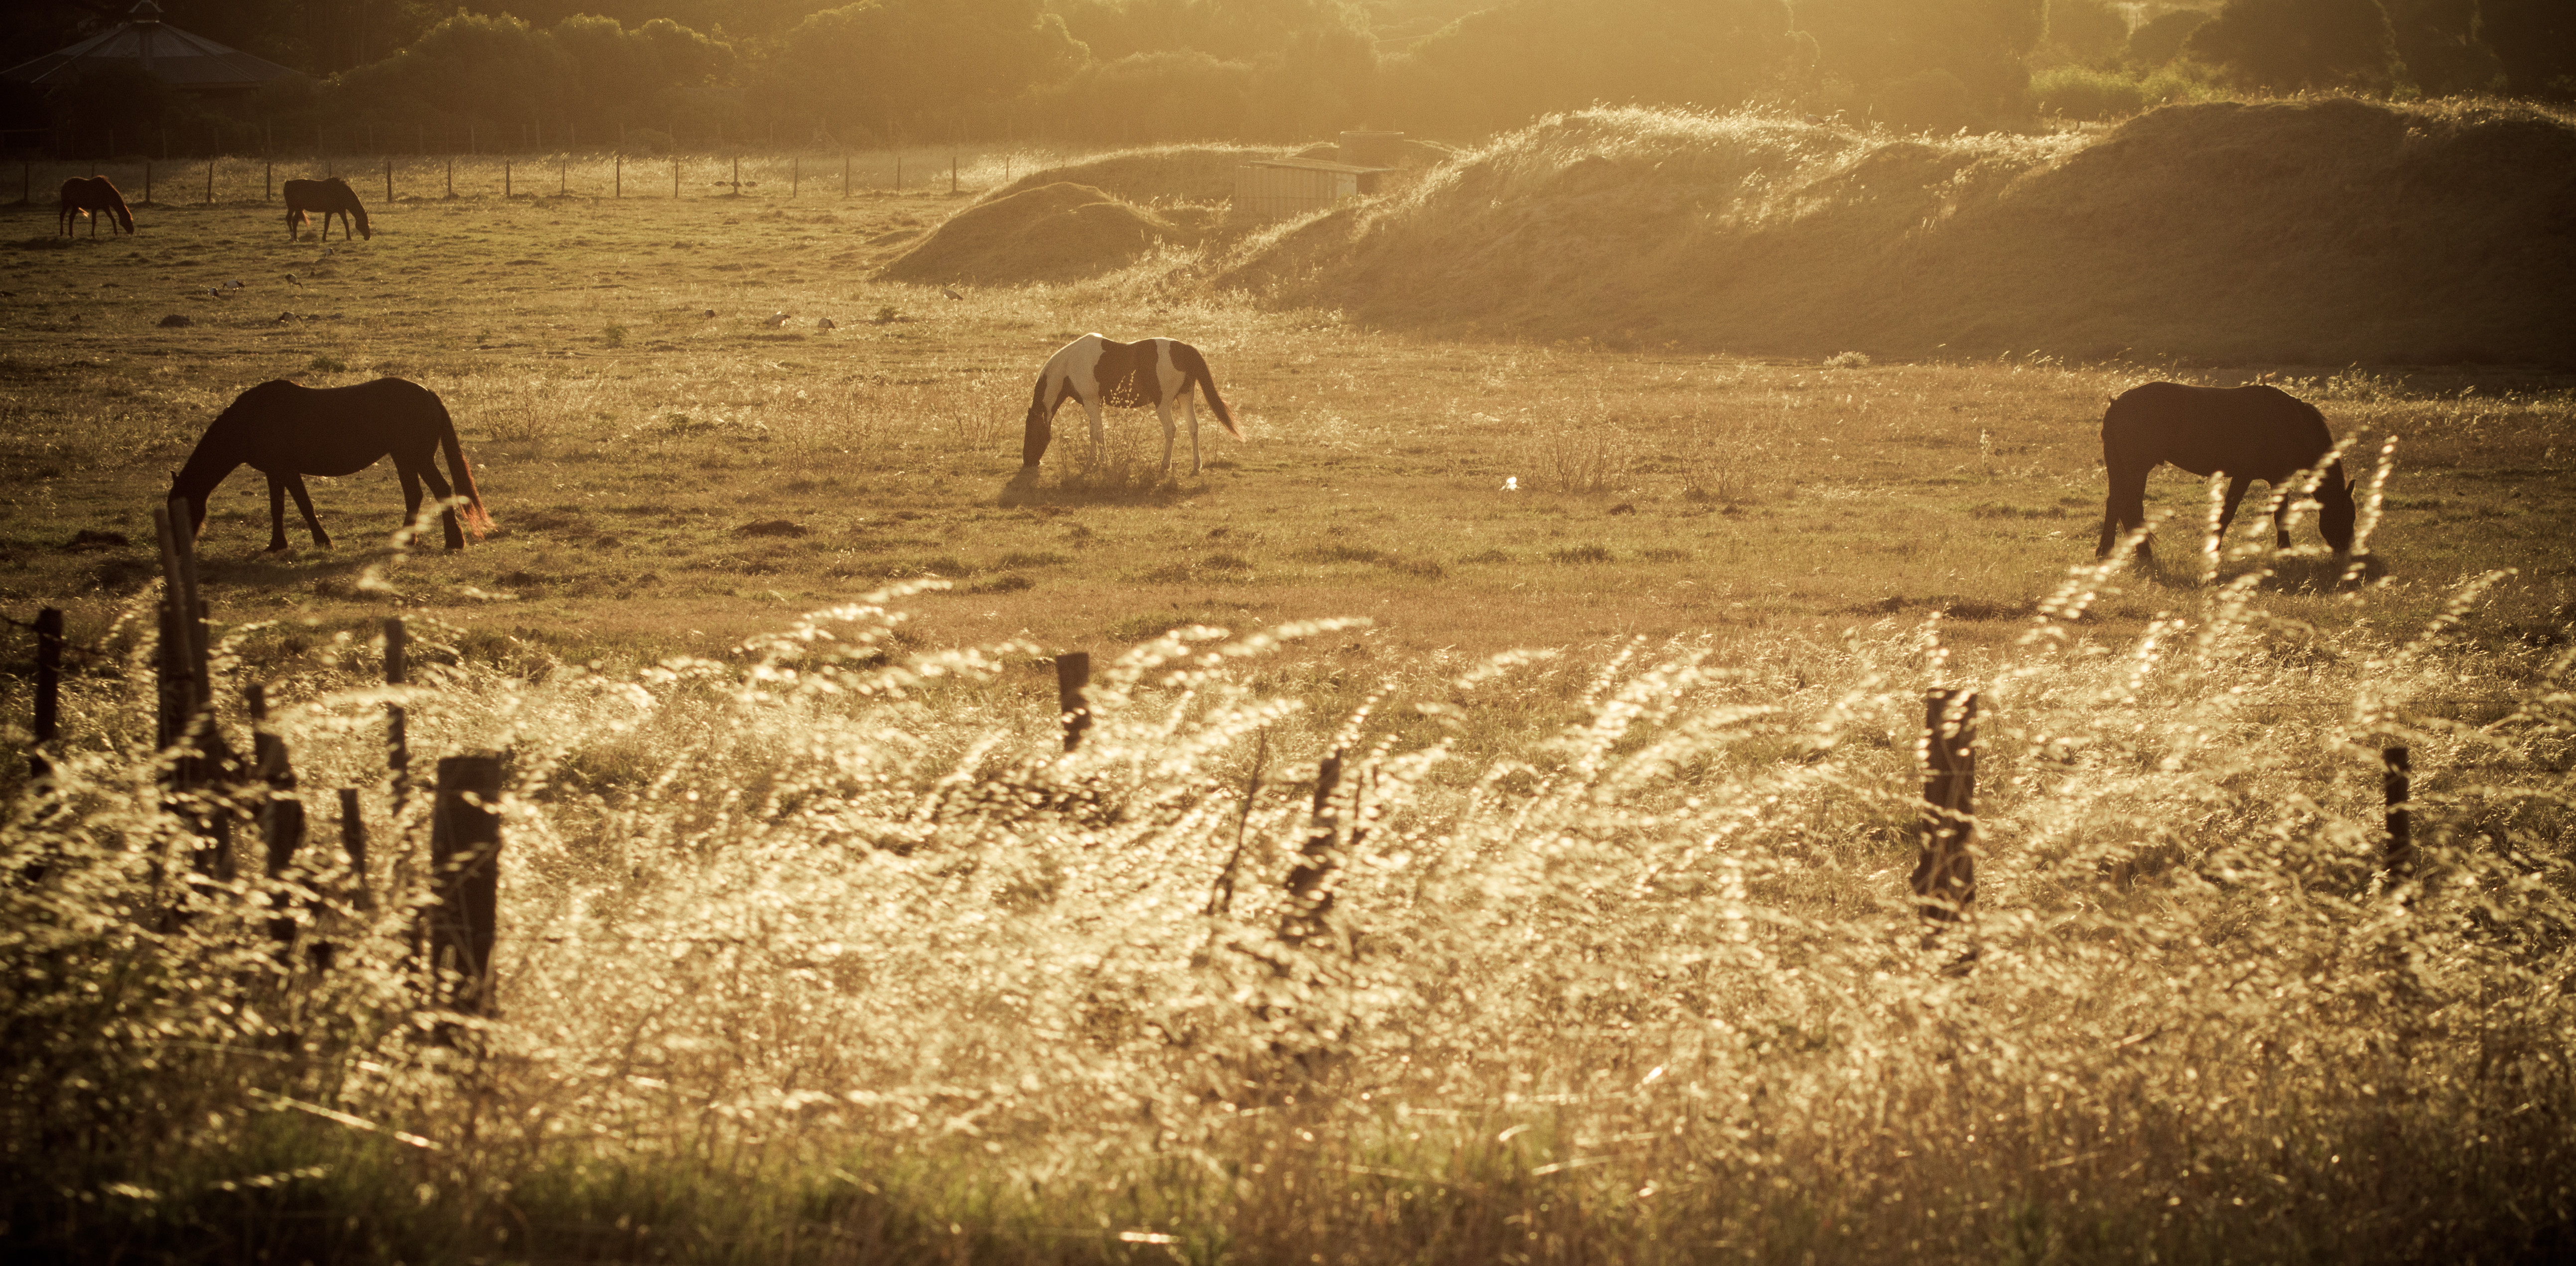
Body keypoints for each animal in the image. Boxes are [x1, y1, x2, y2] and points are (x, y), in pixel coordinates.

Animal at [57, 177, 135, 237]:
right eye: (128, 220)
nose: (132, 231)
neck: (105, 192)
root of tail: (65, 184)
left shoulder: (106, 207)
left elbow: (113, 219)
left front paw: (116, 233)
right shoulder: (94, 208)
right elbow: (94, 221)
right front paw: (93, 235)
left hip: (75, 206)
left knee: (71, 218)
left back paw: (71, 235)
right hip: (66, 204)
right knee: (62, 216)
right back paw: (62, 233)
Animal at [171, 378, 493, 552]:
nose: (179, 549)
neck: (250, 420)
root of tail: (427, 393)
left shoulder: (287, 471)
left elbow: (304, 505)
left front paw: (323, 541)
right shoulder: (274, 473)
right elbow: (278, 508)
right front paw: (277, 545)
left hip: (416, 457)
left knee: (440, 490)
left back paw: (453, 542)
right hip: (404, 458)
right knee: (416, 495)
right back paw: (408, 540)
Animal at [283, 177, 372, 242]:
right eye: (365, 223)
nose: (368, 237)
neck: (341, 193)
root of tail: (288, 183)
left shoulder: (342, 211)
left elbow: (346, 224)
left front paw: (349, 238)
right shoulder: (329, 212)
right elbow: (327, 225)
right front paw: (324, 239)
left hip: (299, 209)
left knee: (294, 221)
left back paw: (295, 238)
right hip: (293, 208)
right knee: (289, 219)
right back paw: (293, 237)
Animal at [1022, 333, 1242, 475]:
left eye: (1032, 431)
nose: (1027, 462)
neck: (1069, 366)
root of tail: (1184, 349)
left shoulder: (1091, 402)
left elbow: (1098, 433)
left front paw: (1104, 463)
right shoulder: (1093, 404)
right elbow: (1094, 432)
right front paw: (1092, 463)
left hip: (1164, 403)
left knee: (1171, 430)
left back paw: (1164, 466)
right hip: (1185, 397)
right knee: (1193, 427)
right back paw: (1196, 466)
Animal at [2096, 381, 2355, 565]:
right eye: (2347, 516)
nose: (2347, 552)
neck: (2291, 423)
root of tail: (2116, 403)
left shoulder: (2277, 479)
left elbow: (2279, 515)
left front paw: (2285, 552)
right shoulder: (2245, 476)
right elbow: (2229, 514)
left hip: (2124, 469)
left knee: (2117, 504)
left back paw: (2110, 551)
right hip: (2136, 468)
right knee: (2127, 506)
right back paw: (2137, 553)